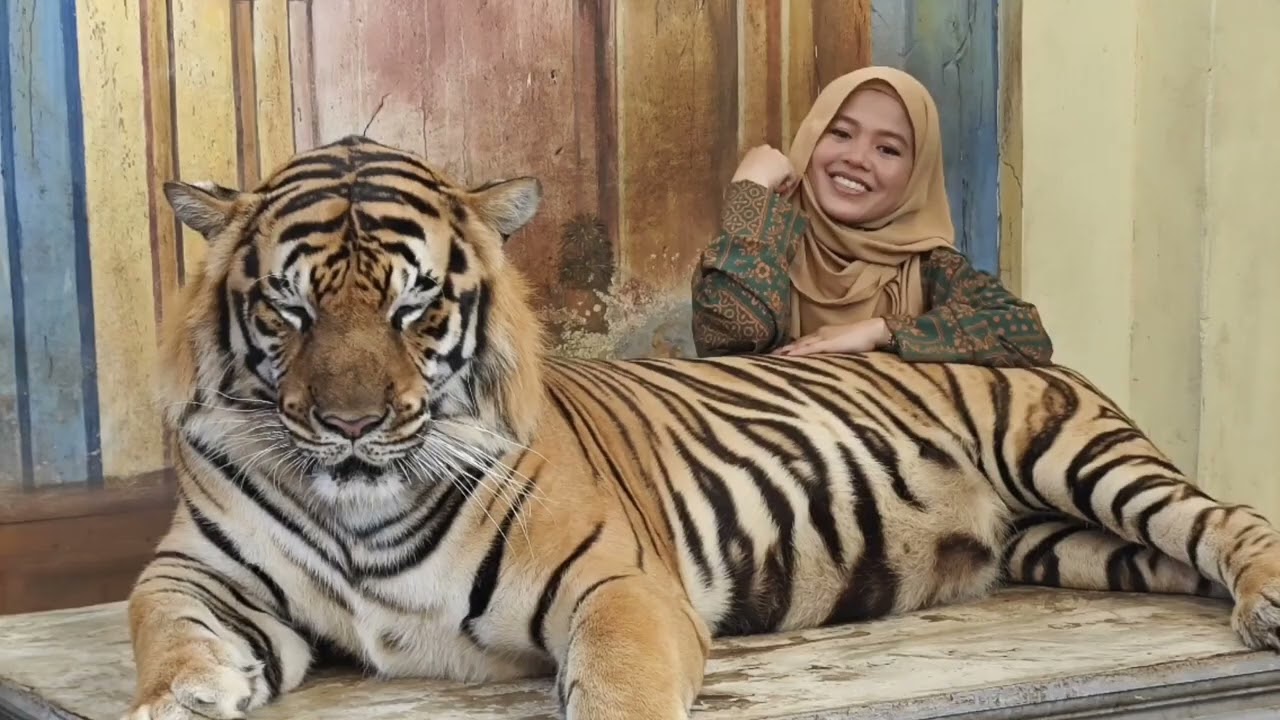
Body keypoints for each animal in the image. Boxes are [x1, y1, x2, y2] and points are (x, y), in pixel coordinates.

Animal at [123, 134, 1280, 720]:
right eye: (290, 310)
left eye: (416, 309)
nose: (352, 425)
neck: (359, 506)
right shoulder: (195, 569)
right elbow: (161, 624)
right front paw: (189, 696)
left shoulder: (619, 586)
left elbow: (618, 688)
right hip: (1070, 548)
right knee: (1172, 555)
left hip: (1075, 457)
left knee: (1222, 514)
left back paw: (1264, 599)